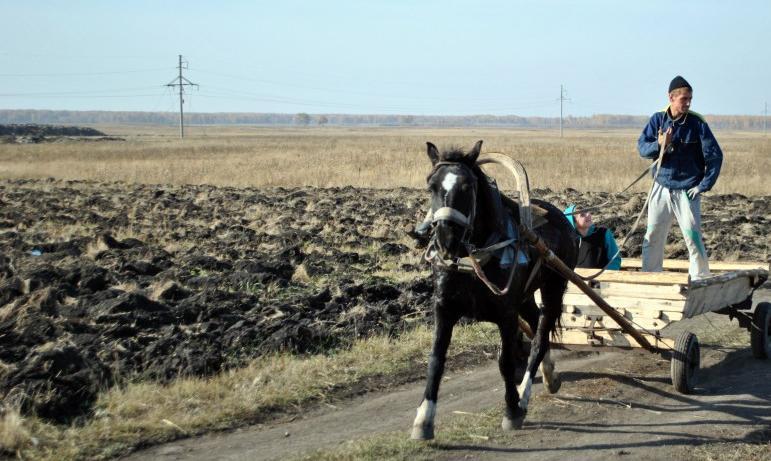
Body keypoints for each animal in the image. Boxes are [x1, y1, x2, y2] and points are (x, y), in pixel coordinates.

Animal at [414, 139, 576, 438]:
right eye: (431, 185)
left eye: (468, 187)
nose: (445, 240)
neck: (474, 258)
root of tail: (561, 217)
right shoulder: (444, 307)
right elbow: (435, 360)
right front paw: (423, 419)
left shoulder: (506, 313)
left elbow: (506, 362)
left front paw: (511, 410)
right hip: (526, 296)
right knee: (536, 323)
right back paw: (549, 375)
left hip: (553, 287)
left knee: (540, 336)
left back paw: (524, 395)